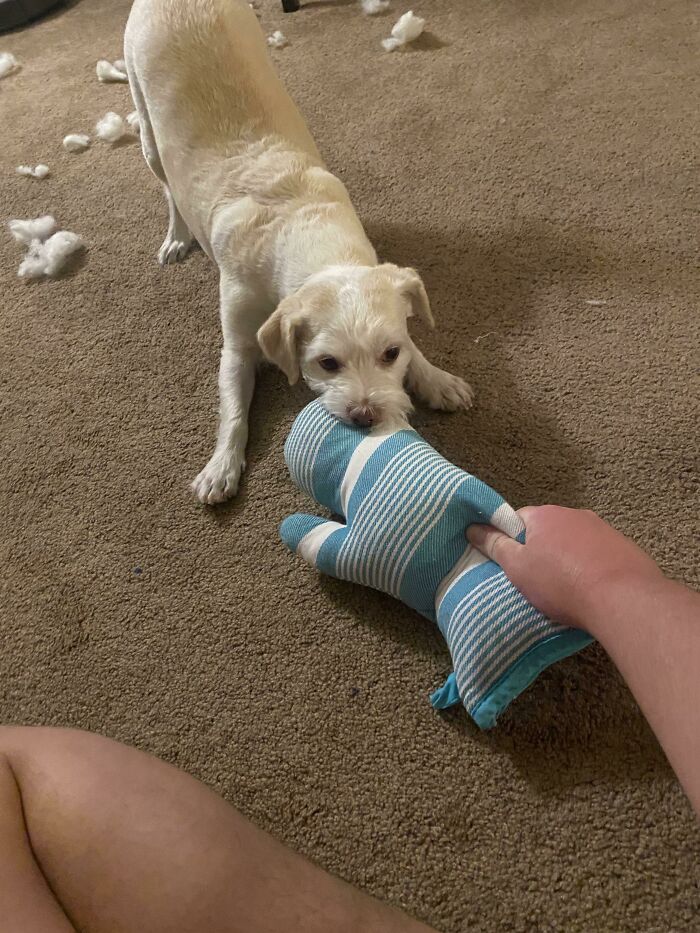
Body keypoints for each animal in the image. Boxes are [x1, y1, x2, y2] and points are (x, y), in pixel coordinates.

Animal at [123, 0, 474, 502]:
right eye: (326, 363)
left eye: (391, 353)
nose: (365, 417)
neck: (302, 226)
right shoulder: (237, 344)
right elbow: (233, 409)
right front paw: (221, 465)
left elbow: (418, 349)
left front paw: (436, 379)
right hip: (147, 130)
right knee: (167, 187)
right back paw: (176, 235)